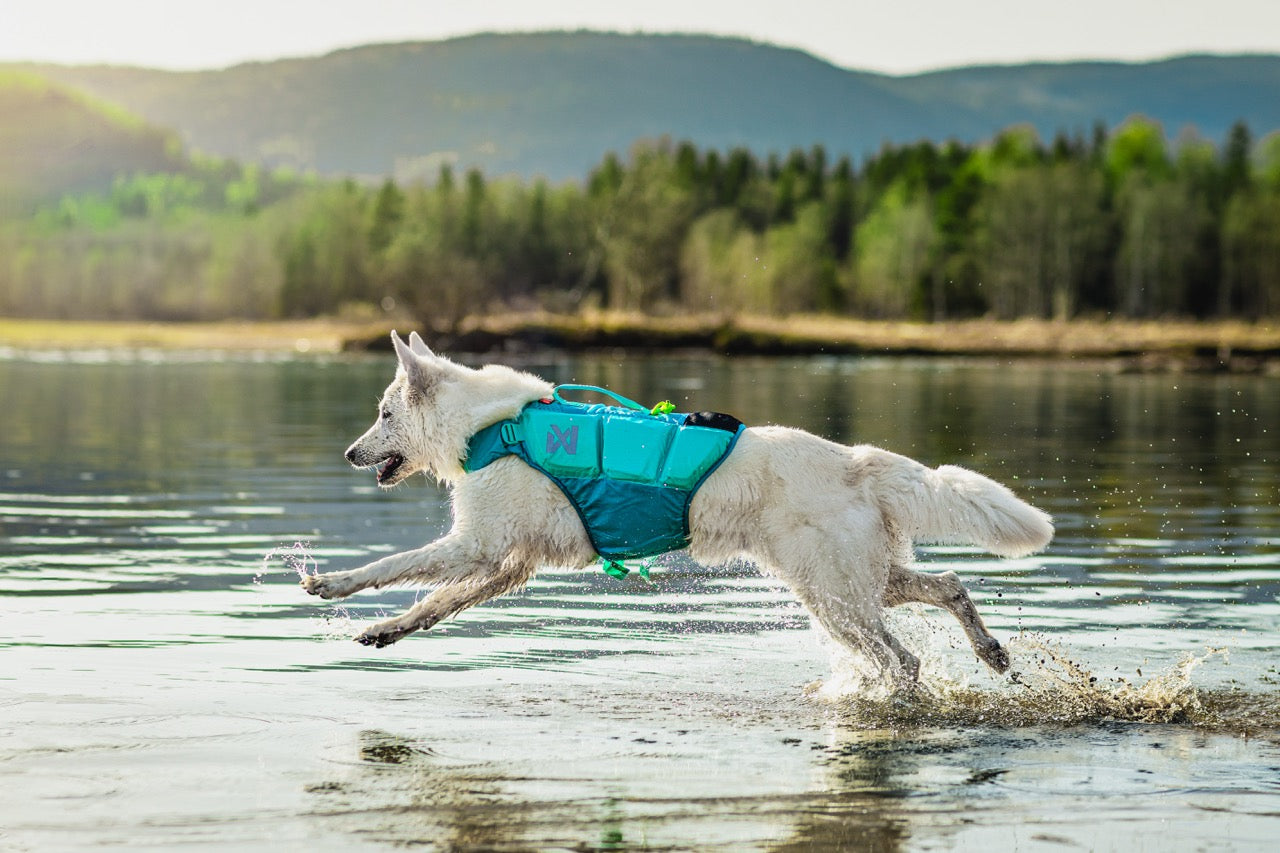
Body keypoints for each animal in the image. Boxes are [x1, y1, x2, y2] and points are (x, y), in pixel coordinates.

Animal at [304, 327, 1054, 681]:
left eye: (383, 414)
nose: (347, 453)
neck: (486, 426)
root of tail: (857, 461)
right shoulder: (507, 563)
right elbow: (433, 602)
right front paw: (386, 631)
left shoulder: (480, 545)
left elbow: (392, 565)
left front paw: (330, 583)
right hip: (859, 580)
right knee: (950, 583)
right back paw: (990, 652)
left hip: (833, 596)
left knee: (904, 660)